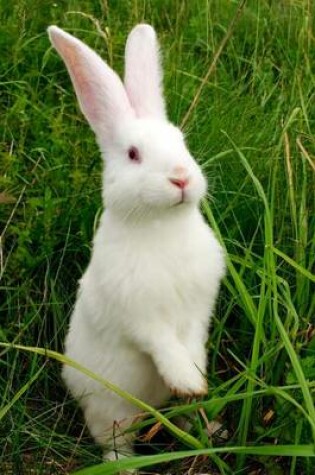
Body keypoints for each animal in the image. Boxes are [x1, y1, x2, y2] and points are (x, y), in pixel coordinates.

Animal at [47, 23, 225, 464]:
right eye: (133, 154)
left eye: (182, 141)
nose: (180, 177)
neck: (162, 224)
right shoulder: (139, 316)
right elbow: (163, 345)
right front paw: (187, 380)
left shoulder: (198, 308)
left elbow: (191, 339)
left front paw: (196, 381)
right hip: (110, 410)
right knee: (114, 443)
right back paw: (126, 466)